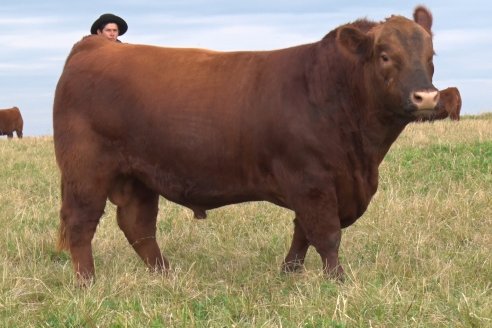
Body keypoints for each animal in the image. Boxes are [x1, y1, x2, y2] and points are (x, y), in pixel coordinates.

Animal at [54, 5, 446, 284]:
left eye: (431, 55)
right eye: (385, 55)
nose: (426, 96)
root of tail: (92, 46)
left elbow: (302, 231)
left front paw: (289, 272)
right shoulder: (312, 181)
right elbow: (326, 234)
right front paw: (337, 281)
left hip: (138, 176)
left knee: (138, 226)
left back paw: (165, 275)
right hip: (85, 170)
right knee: (81, 223)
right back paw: (87, 283)